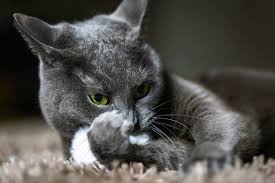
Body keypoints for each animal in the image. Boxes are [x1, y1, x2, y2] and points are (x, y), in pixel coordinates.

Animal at [12, 0, 274, 172]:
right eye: (98, 98)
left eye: (142, 90)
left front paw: (205, 163)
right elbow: (167, 154)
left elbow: (220, 124)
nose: (132, 121)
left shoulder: (202, 101)